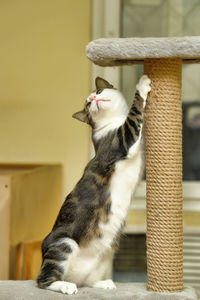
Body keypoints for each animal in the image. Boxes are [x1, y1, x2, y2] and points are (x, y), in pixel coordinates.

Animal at [36, 74, 151, 294]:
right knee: (43, 281)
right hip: (63, 244)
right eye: (88, 105)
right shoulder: (120, 140)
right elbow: (134, 114)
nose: (94, 99)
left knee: (86, 280)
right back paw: (64, 286)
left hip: (108, 251)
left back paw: (102, 283)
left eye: (98, 92)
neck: (114, 121)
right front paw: (142, 84)